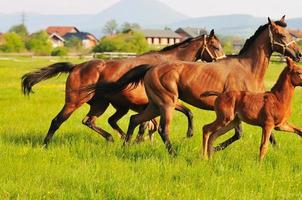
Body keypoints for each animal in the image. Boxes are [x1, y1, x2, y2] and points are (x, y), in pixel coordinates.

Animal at [21, 29, 224, 145]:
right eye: (215, 46)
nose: (222, 62)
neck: (166, 65)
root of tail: (76, 67)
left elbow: (177, 116)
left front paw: (136, 140)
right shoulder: (163, 102)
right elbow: (179, 115)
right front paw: (188, 134)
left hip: (101, 104)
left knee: (90, 121)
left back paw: (112, 138)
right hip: (73, 102)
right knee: (57, 121)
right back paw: (46, 144)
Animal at [89, 16, 302, 155]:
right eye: (281, 34)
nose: (298, 54)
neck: (247, 69)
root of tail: (151, 68)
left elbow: (265, 133)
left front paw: (276, 148)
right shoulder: (236, 111)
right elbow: (239, 134)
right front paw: (214, 148)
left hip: (154, 105)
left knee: (135, 120)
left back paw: (126, 146)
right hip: (166, 104)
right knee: (162, 129)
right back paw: (173, 154)